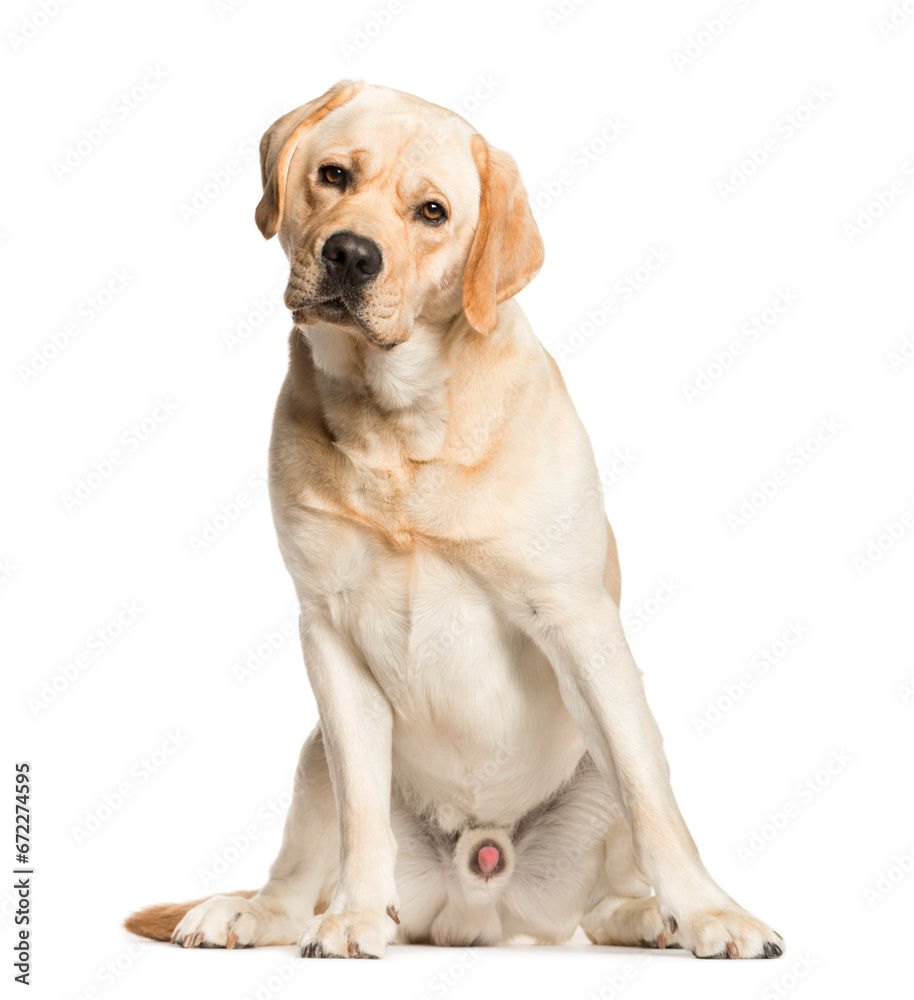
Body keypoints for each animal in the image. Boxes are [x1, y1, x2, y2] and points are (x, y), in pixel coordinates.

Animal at [126, 80, 784, 960]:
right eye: (333, 175)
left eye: (431, 212)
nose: (350, 254)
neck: (398, 425)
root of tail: (479, 905)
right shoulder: (327, 634)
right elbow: (361, 813)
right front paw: (356, 915)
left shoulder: (577, 620)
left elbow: (655, 804)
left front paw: (710, 912)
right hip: (312, 753)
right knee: (301, 870)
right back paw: (252, 912)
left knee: (611, 876)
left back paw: (649, 917)